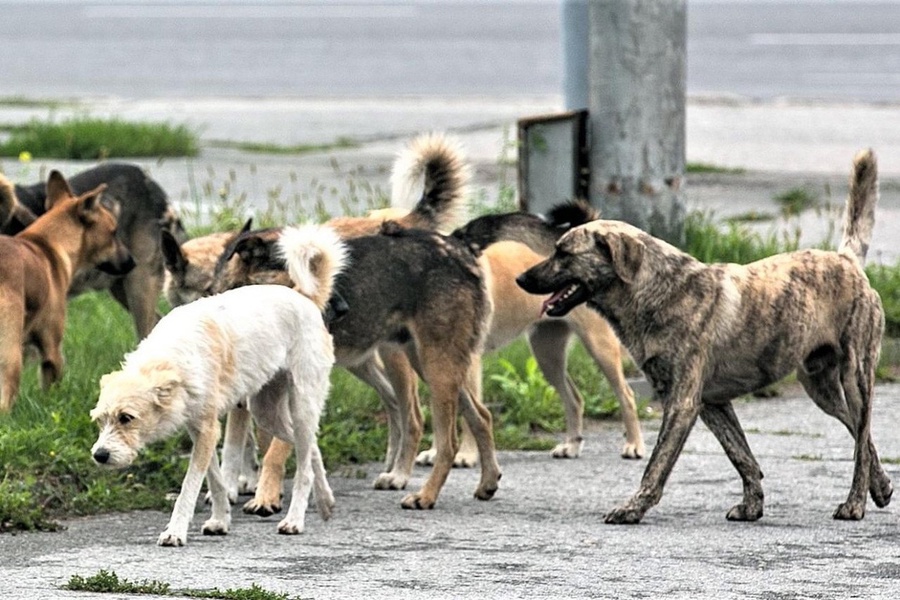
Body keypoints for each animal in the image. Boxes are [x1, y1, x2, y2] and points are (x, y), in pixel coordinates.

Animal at [0, 171, 135, 410]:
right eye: (113, 232)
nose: (132, 262)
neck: (47, 244)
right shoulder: (52, 351)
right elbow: (51, 388)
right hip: (11, 356)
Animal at [89, 223, 346, 548]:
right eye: (100, 421)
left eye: (126, 418)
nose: (99, 455)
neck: (172, 358)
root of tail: (305, 298)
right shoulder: (201, 430)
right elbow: (216, 480)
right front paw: (220, 520)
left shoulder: (208, 431)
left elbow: (190, 486)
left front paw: (175, 531)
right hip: (267, 413)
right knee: (311, 448)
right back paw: (325, 501)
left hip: (300, 405)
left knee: (303, 468)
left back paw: (294, 520)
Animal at [516, 150, 888, 524]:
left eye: (563, 253)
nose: (520, 279)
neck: (658, 291)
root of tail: (846, 260)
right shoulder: (712, 403)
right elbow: (742, 456)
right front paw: (752, 505)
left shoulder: (681, 404)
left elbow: (657, 464)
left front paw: (633, 507)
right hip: (820, 388)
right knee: (861, 434)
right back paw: (881, 486)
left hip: (855, 377)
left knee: (860, 439)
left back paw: (855, 503)